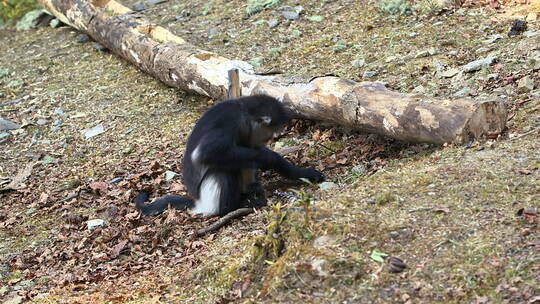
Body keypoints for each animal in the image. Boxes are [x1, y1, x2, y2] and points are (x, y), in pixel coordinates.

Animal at [135, 95, 322, 216]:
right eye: (269, 135)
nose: (269, 140)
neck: (244, 113)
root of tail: (198, 201)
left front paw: (303, 173)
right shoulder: (232, 121)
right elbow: (205, 154)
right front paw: (268, 157)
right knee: (222, 170)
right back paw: (232, 208)